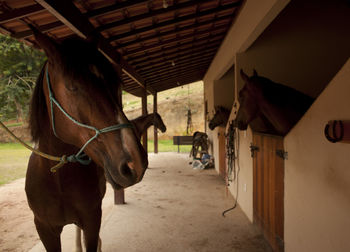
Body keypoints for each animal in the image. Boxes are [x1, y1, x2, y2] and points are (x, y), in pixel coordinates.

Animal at [25, 28, 148, 251]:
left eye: (115, 85)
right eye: (73, 87)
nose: (136, 162)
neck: (58, 177)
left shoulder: (92, 220)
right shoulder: (45, 228)